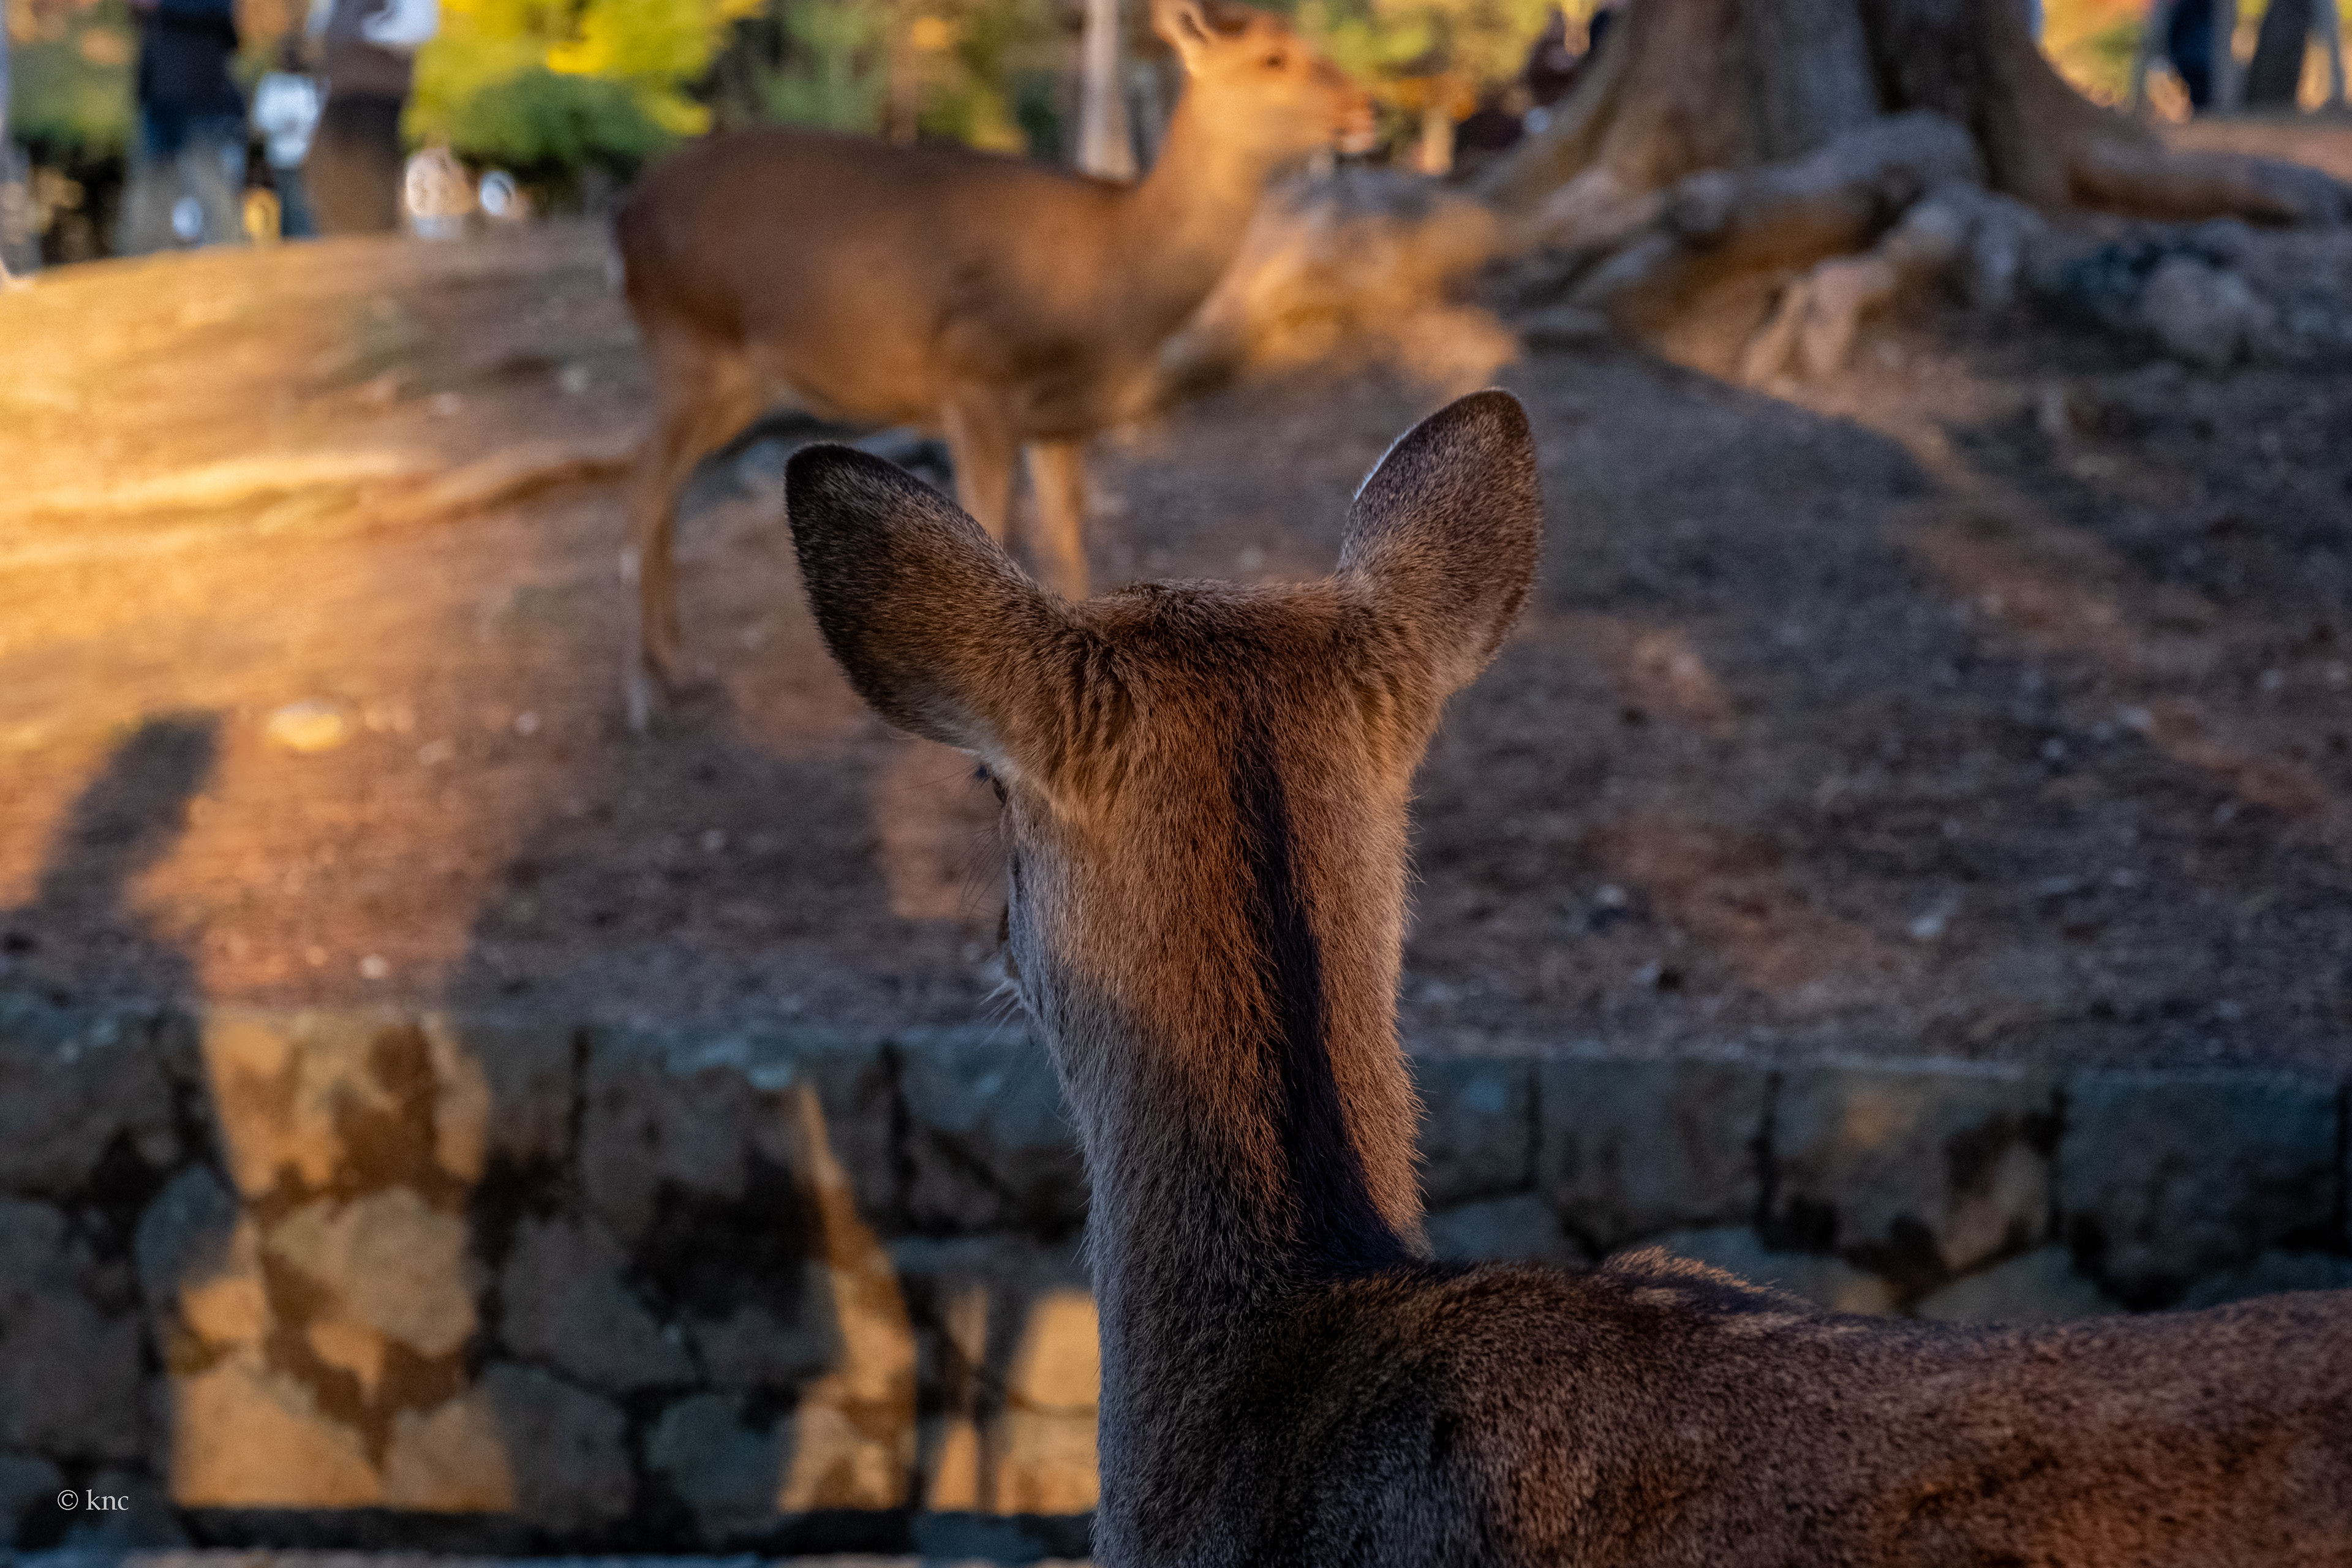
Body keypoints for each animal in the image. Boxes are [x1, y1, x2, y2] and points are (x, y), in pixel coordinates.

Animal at [610, 0, 1373, 732]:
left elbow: (1066, 545)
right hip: (687, 343)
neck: (1111, 288)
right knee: (643, 484)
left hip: (735, 378)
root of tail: (625, 216)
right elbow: (994, 538)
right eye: (1272, 57)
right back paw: (644, 693)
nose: (1367, 107)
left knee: (664, 487)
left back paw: (679, 668)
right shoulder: (973, 380)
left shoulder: (1061, 419)